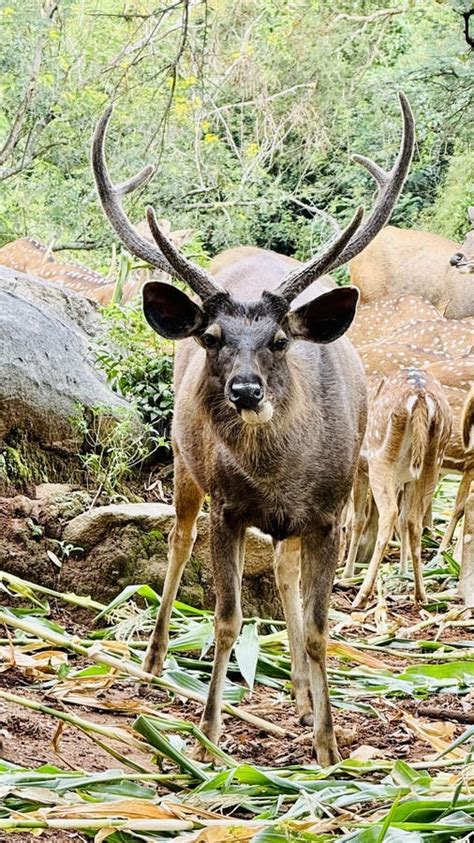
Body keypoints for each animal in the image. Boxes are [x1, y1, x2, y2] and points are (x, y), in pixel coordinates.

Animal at [92, 92, 414, 764]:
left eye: (281, 339)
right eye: (212, 337)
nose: (245, 389)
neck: (279, 478)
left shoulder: (330, 512)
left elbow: (319, 628)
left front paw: (328, 743)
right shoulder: (230, 508)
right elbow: (227, 619)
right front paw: (208, 735)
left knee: (286, 573)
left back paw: (299, 692)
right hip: (185, 463)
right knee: (177, 539)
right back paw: (154, 661)